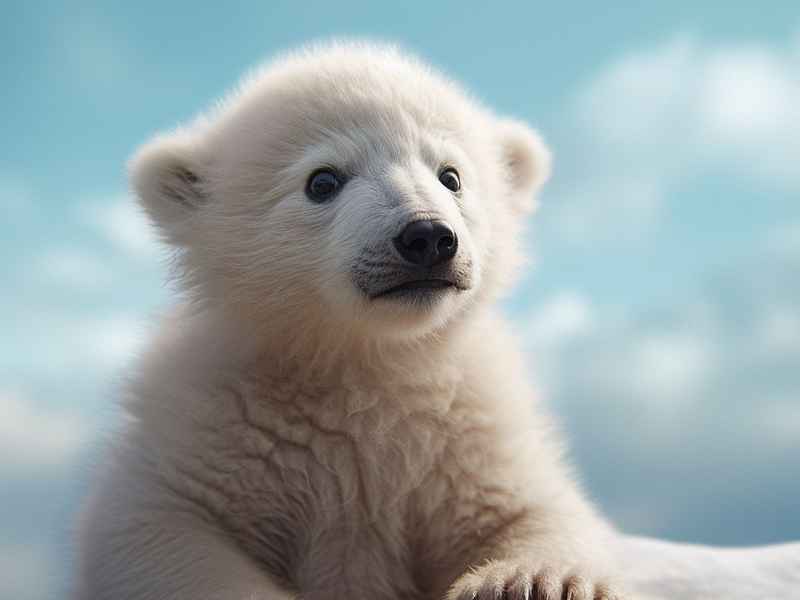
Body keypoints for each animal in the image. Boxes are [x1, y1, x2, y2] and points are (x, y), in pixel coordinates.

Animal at [75, 42, 626, 600]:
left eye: (451, 176)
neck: (363, 363)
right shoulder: (214, 425)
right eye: (322, 180)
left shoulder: (467, 435)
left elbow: (534, 509)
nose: (428, 236)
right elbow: (156, 527)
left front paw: (529, 580)